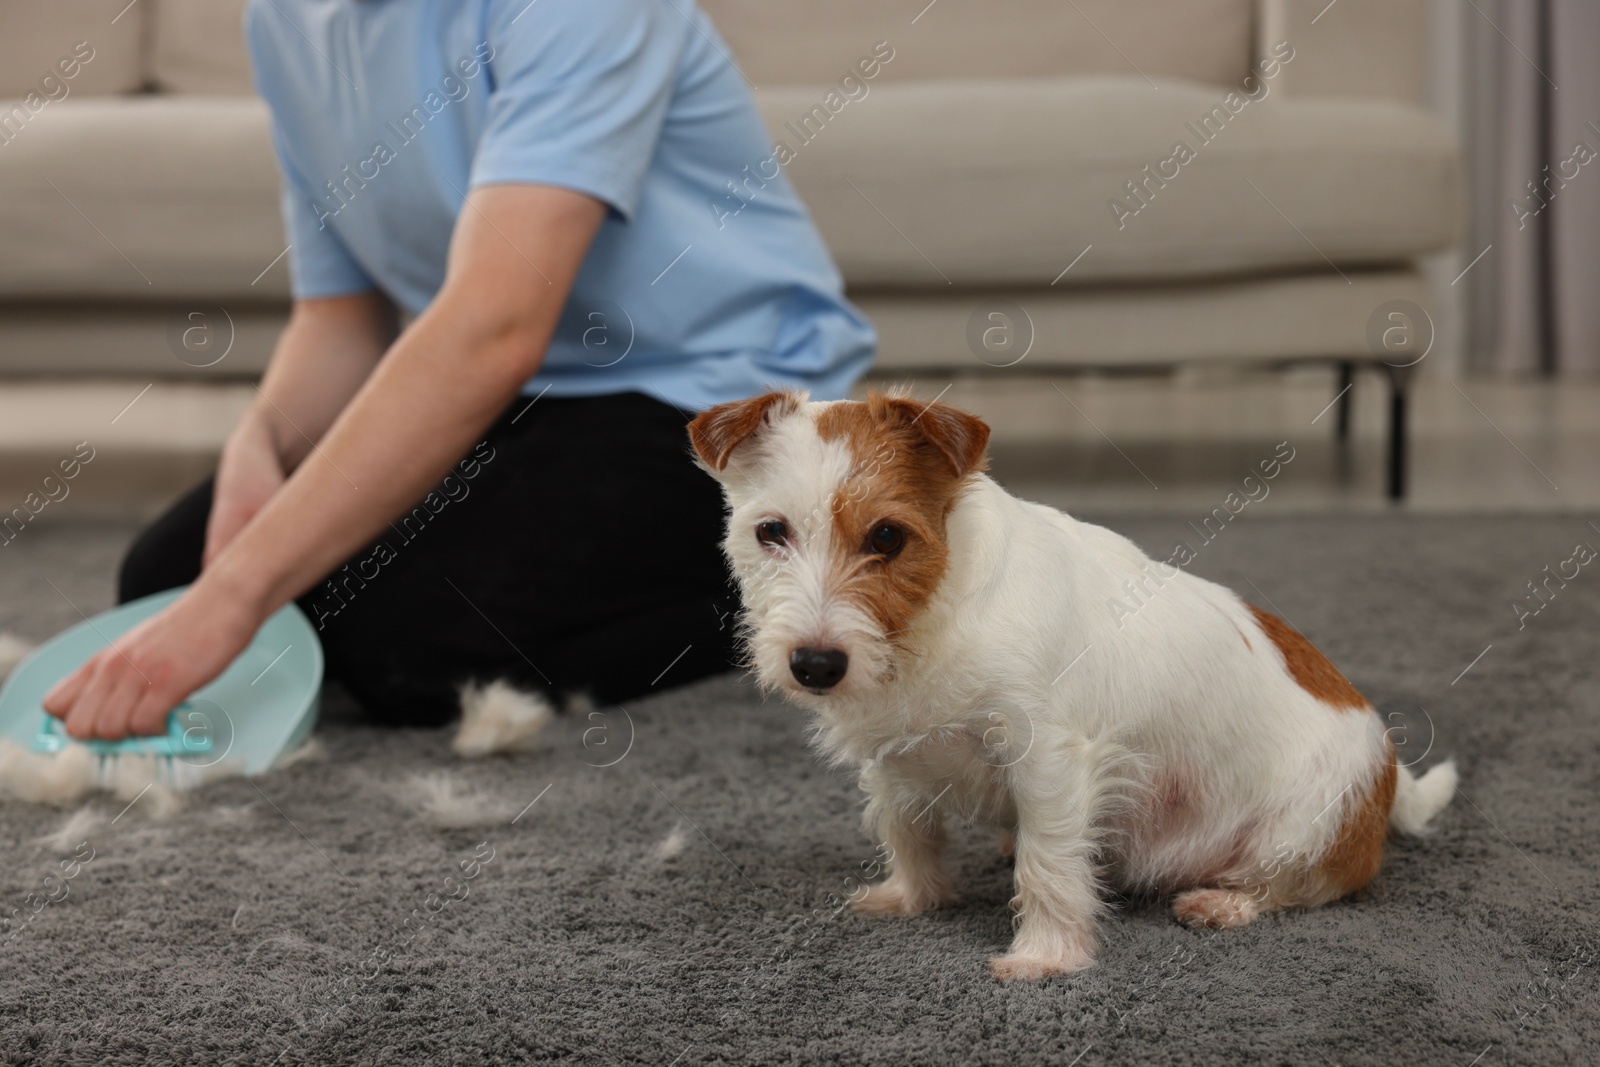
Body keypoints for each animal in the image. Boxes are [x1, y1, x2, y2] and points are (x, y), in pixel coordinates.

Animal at [681, 390, 1459, 985]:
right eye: (771, 532)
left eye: (888, 538)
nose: (815, 664)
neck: (935, 616)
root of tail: (1390, 768)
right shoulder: (894, 761)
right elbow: (908, 831)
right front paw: (914, 897)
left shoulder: (1050, 761)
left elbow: (1050, 865)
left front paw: (1045, 958)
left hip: (1304, 830)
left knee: (1298, 885)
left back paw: (1225, 903)